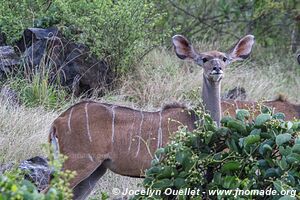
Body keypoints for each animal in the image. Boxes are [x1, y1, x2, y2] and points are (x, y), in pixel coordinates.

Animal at [49, 34, 255, 198]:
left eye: (224, 58)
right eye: (204, 59)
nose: (217, 69)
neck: (195, 121)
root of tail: (58, 121)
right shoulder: (170, 169)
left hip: (96, 171)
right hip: (77, 163)